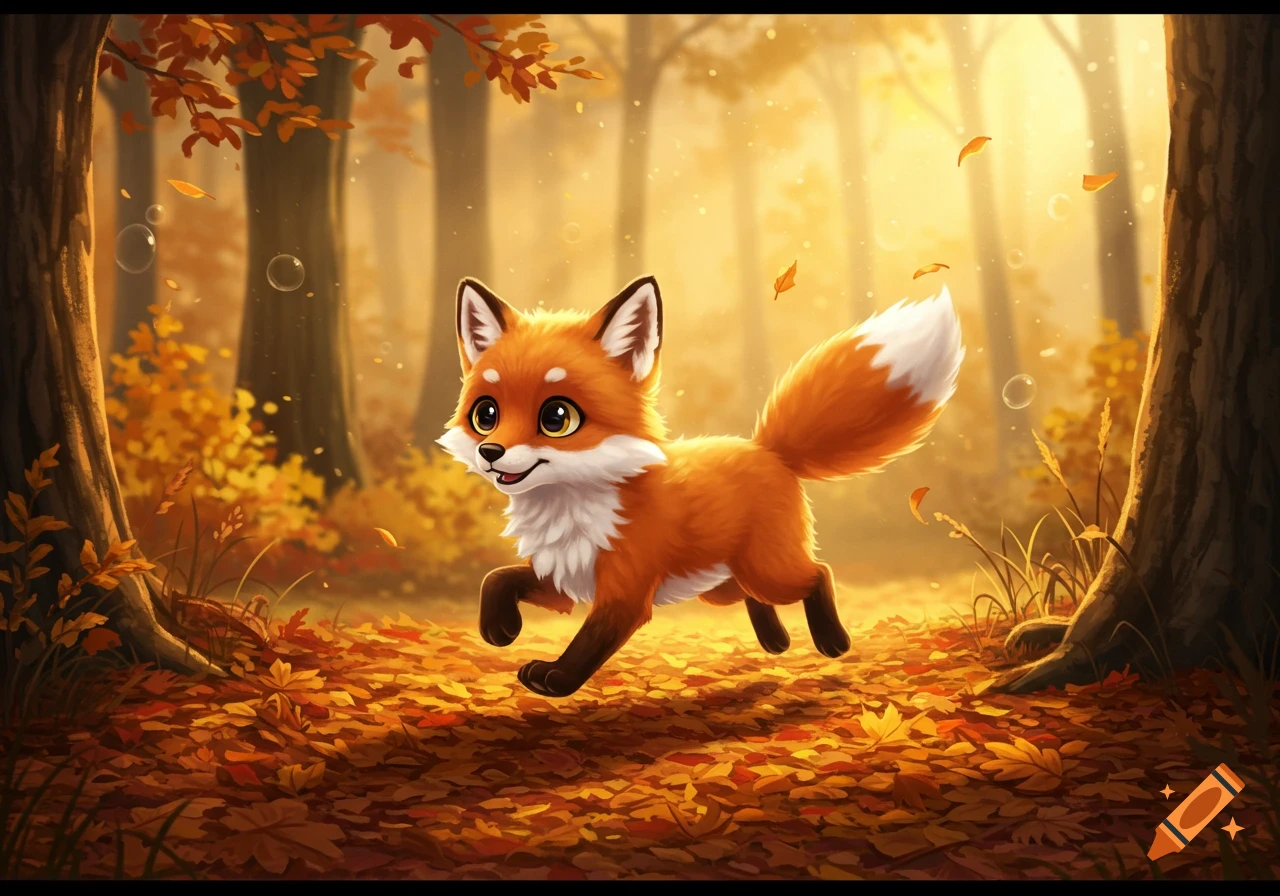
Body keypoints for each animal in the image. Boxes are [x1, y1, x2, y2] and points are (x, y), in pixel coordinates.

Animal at [437, 274, 964, 697]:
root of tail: (768, 449)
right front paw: (500, 628)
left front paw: (557, 678)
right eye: (486, 414)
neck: (572, 504)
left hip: (765, 569)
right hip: (719, 584)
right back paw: (776, 640)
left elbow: (589, 642)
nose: (491, 453)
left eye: (556, 417)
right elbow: (497, 578)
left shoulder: (624, 592)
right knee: (757, 597)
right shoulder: (566, 575)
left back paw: (831, 641)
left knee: (820, 573)